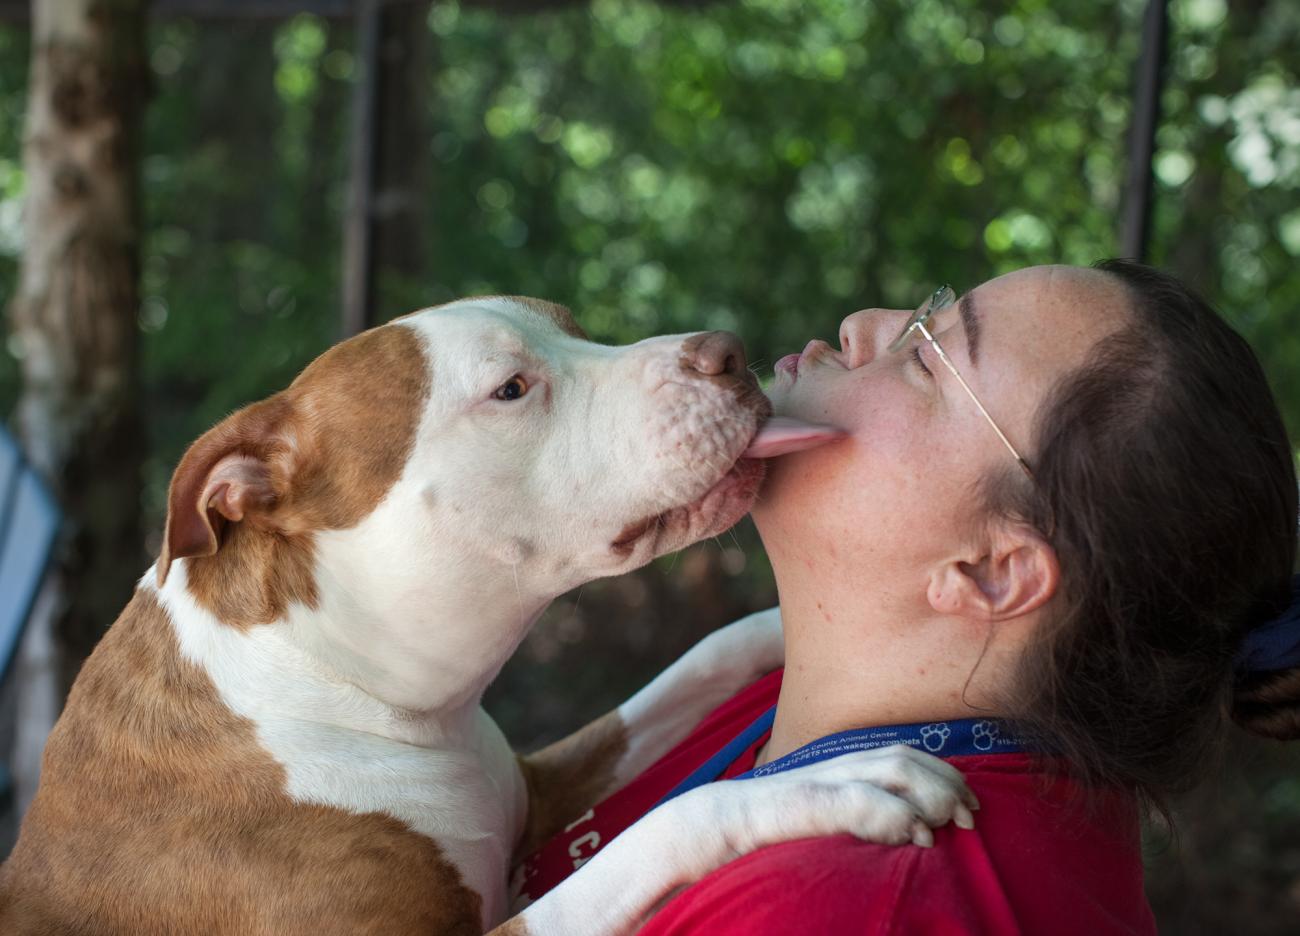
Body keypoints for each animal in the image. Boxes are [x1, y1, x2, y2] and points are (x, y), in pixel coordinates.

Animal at [0, 300, 977, 935]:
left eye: (577, 329)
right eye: (511, 388)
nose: (727, 351)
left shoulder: (537, 783)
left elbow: (695, 661)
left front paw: (781, 627)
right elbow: (664, 825)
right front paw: (834, 783)